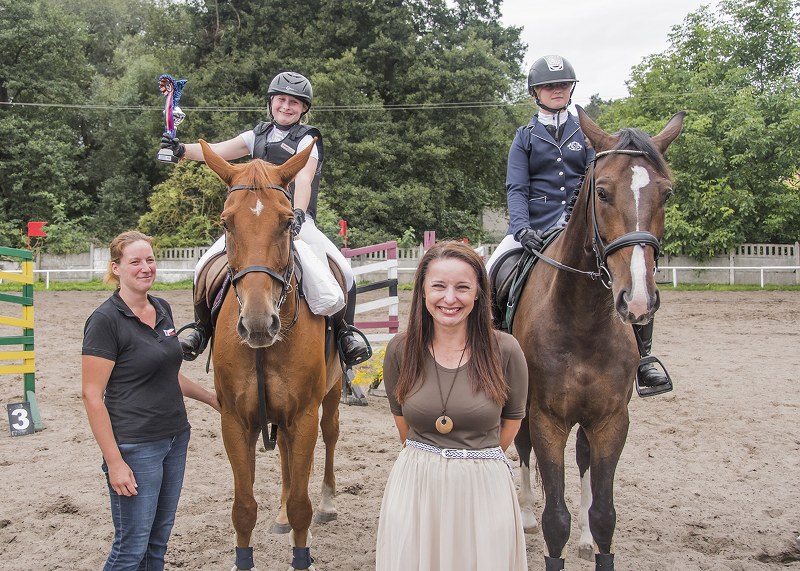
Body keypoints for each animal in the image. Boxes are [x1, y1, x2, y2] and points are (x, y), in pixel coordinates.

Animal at [198, 140, 342, 571]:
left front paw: (302, 554)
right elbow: (244, 508)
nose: (259, 324)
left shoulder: (304, 415)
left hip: (330, 395)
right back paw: (279, 516)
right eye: (226, 223)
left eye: (287, 222)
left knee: (329, 437)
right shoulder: (234, 419)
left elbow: (301, 505)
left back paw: (327, 503)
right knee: (285, 459)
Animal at [516, 108, 684, 571]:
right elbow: (555, 519)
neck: (583, 320)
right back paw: (524, 516)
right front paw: (544, 525)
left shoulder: (610, 420)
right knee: (521, 449)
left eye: (666, 194)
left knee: (583, 458)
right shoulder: (546, 419)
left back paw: (584, 538)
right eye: (603, 193)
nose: (639, 300)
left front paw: (594, 539)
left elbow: (605, 513)